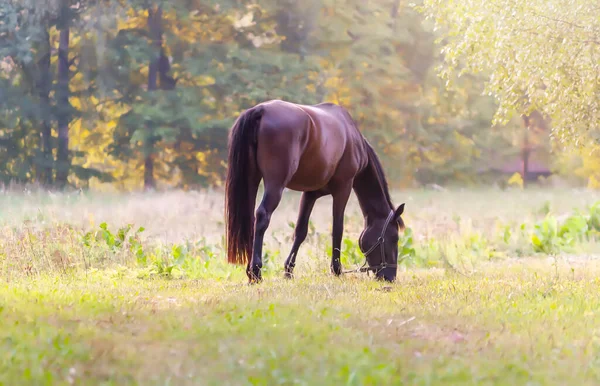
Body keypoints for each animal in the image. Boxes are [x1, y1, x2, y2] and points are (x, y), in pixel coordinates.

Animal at [223, 98, 406, 282]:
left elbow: (301, 231)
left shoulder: (310, 194)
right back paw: (256, 271)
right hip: (275, 184)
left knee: (251, 220)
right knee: (262, 216)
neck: (353, 139)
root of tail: (260, 110)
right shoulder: (343, 188)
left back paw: (250, 271)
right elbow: (337, 229)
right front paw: (336, 270)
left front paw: (288, 271)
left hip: (252, 180)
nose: (390, 276)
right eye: (393, 238)